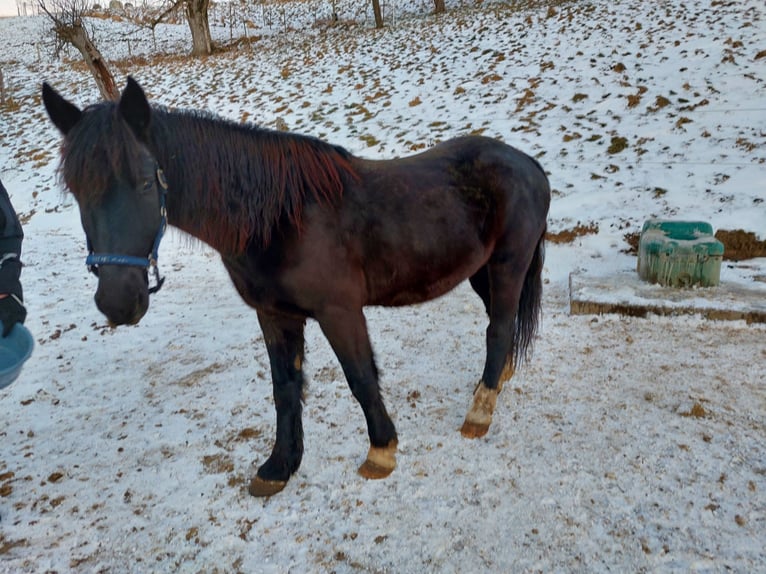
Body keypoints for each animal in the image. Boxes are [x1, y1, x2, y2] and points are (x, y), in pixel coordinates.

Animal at [42, 77, 551, 497]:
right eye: (77, 191)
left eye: (147, 182)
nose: (117, 301)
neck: (278, 219)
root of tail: (529, 163)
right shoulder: (274, 314)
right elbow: (285, 388)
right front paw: (278, 467)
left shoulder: (339, 311)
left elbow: (360, 378)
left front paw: (381, 451)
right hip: (480, 272)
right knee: (499, 324)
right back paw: (495, 383)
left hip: (508, 265)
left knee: (499, 328)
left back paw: (479, 412)